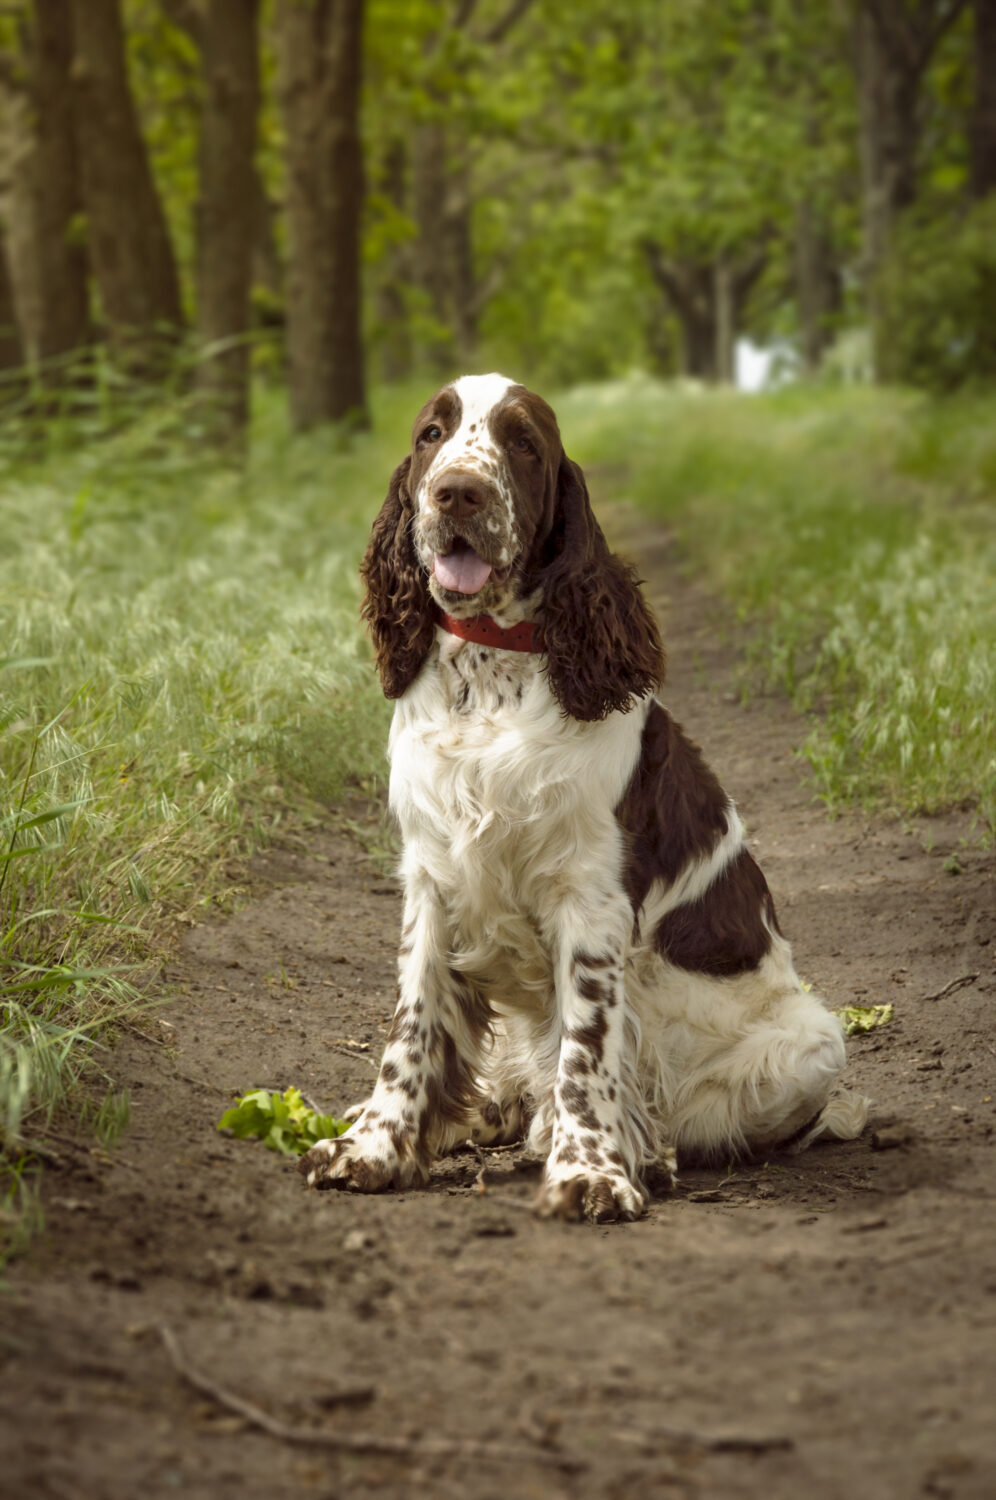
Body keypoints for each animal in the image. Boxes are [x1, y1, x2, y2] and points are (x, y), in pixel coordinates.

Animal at [300, 372, 870, 1218]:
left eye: (523, 443)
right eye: (433, 434)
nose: (459, 493)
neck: (490, 676)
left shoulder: (590, 899)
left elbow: (586, 1048)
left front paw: (590, 1172)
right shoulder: (433, 881)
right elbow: (412, 1029)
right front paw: (373, 1146)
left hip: (811, 1043)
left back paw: (642, 1152)